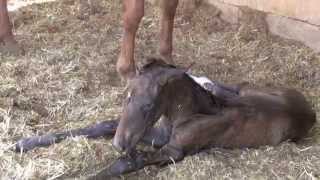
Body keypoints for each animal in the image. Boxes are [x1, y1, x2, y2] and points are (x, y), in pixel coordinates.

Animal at [15, 58, 316, 179]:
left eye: (149, 105)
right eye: (125, 97)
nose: (119, 144)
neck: (186, 113)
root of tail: (310, 109)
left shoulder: (173, 151)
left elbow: (125, 164)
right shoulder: (156, 134)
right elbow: (103, 125)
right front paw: (23, 143)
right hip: (247, 88)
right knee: (227, 87)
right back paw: (207, 82)